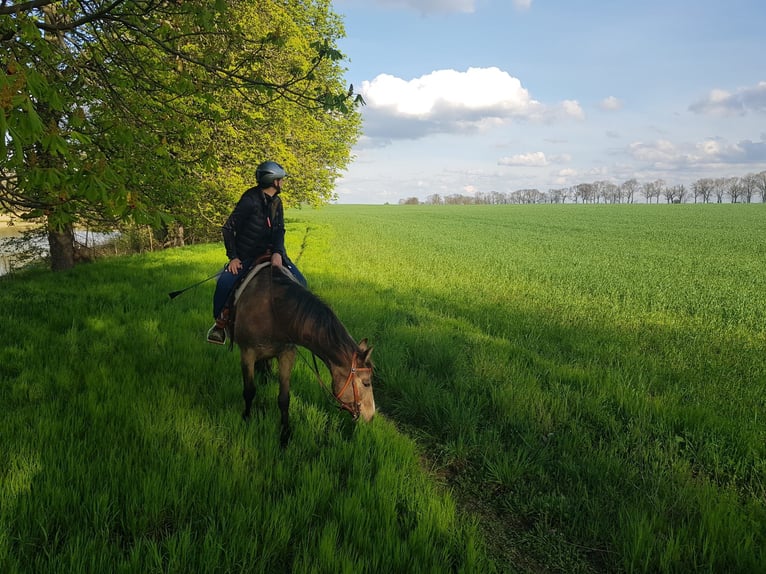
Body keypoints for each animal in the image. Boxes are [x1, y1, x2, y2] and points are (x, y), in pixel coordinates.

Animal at [231, 266, 376, 446]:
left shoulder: (286, 355)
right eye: (366, 383)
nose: (371, 416)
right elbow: (249, 391)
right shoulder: (247, 353)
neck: (275, 312)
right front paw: (246, 418)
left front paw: (285, 435)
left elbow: (284, 399)